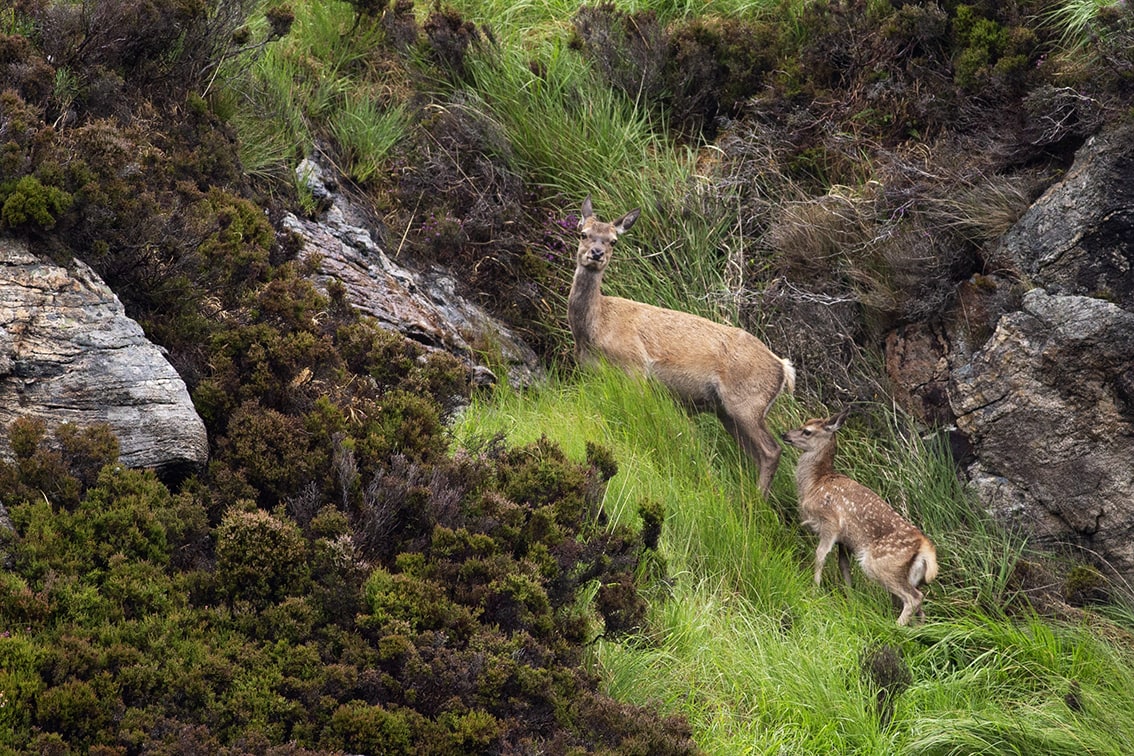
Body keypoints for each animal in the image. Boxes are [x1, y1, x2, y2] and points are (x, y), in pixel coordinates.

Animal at [567, 194, 798, 496]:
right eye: (583, 233)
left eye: (613, 240)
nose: (596, 253)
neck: (596, 329)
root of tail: (784, 369)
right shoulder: (590, 371)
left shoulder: (635, 368)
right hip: (728, 411)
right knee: (758, 454)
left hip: (747, 402)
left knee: (771, 451)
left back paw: (757, 498)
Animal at [784, 410, 934, 625]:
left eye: (807, 431)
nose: (784, 435)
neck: (814, 484)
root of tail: (925, 548)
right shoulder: (844, 541)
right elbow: (844, 567)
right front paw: (850, 598)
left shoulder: (831, 522)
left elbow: (820, 555)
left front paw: (814, 590)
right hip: (910, 575)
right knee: (918, 606)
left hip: (880, 564)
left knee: (914, 598)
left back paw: (895, 627)